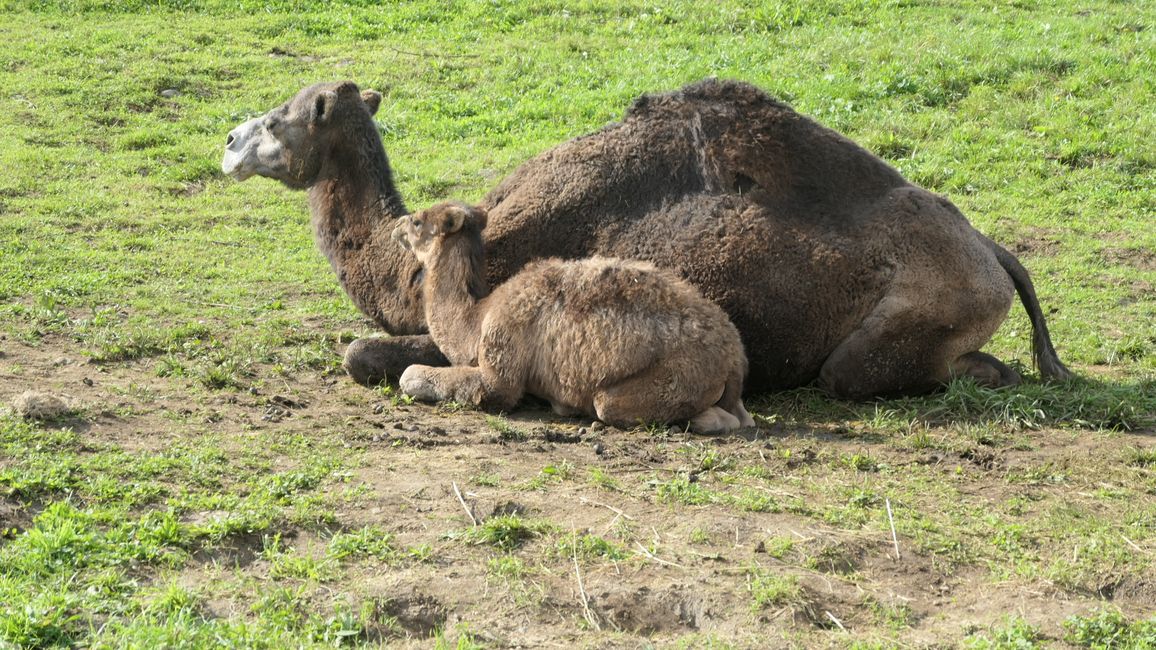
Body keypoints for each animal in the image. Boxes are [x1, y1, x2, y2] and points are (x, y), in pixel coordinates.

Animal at [390, 200, 758, 432]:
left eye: (418, 220)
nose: (396, 227)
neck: (477, 317)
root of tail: (735, 357)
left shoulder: (501, 361)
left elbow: (413, 374)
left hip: (676, 376)